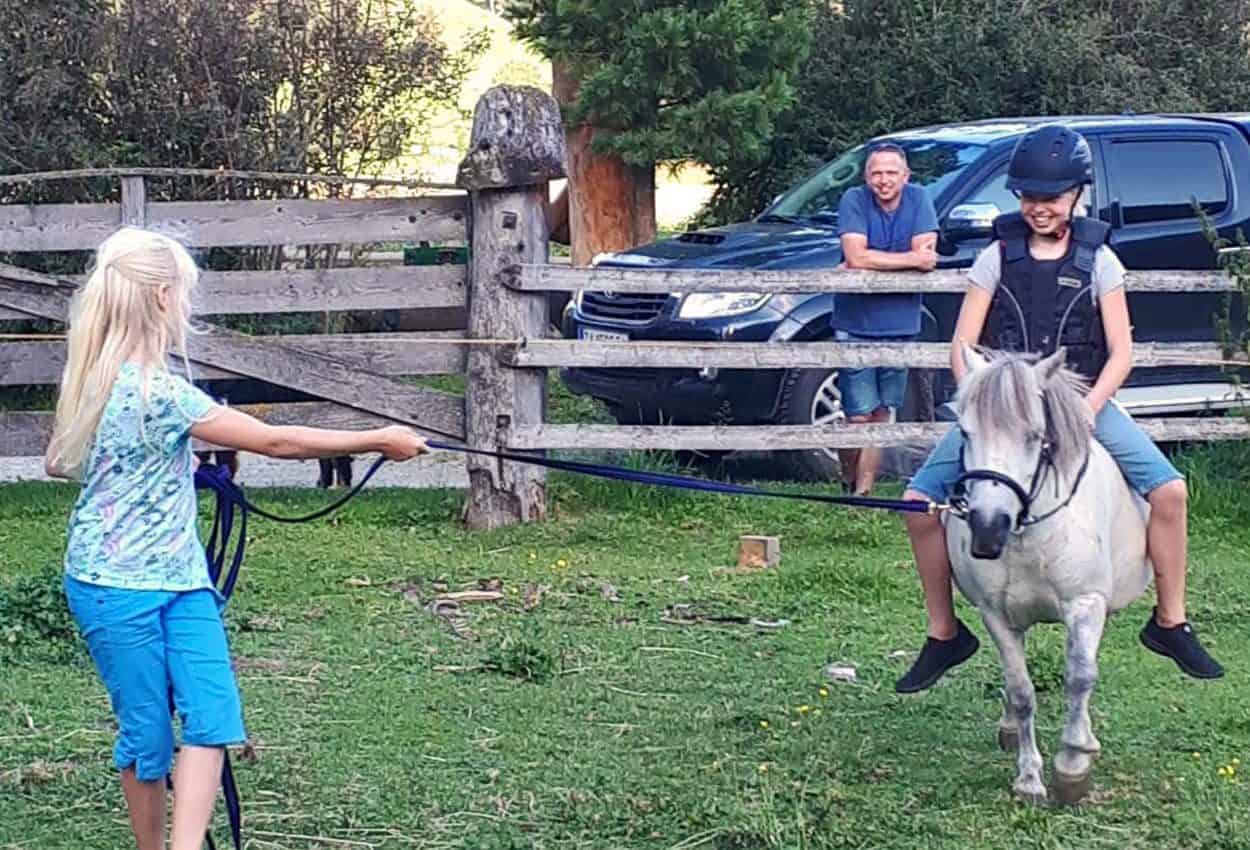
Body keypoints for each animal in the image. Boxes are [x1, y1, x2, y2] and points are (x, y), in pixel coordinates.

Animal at [944, 344, 1152, 804]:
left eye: (1034, 435)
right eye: (965, 433)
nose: (988, 529)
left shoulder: (1086, 603)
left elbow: (1080, 676)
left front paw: (1072, 765)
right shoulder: (996, 615)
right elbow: (1022, 690)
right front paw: (1028, 779)